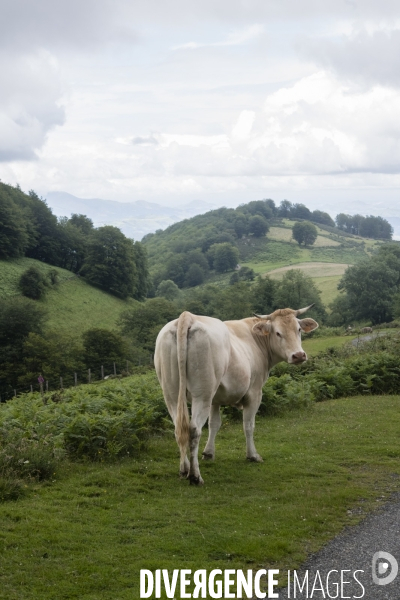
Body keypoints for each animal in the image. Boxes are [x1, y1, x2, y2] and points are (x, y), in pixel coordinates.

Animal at [154, 304, 318, 482]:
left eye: (299, 329)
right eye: (278, 333)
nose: (298, 355)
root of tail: (187, 317)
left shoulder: (215, 399)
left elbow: (214, 424)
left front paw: (208, 453)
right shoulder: (254, 393)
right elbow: (248, 425)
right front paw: (252, 455)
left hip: (172, 394)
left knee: (179, 428)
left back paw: (184, 469)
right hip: (202, 394)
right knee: (193, 430)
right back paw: (195, 476)